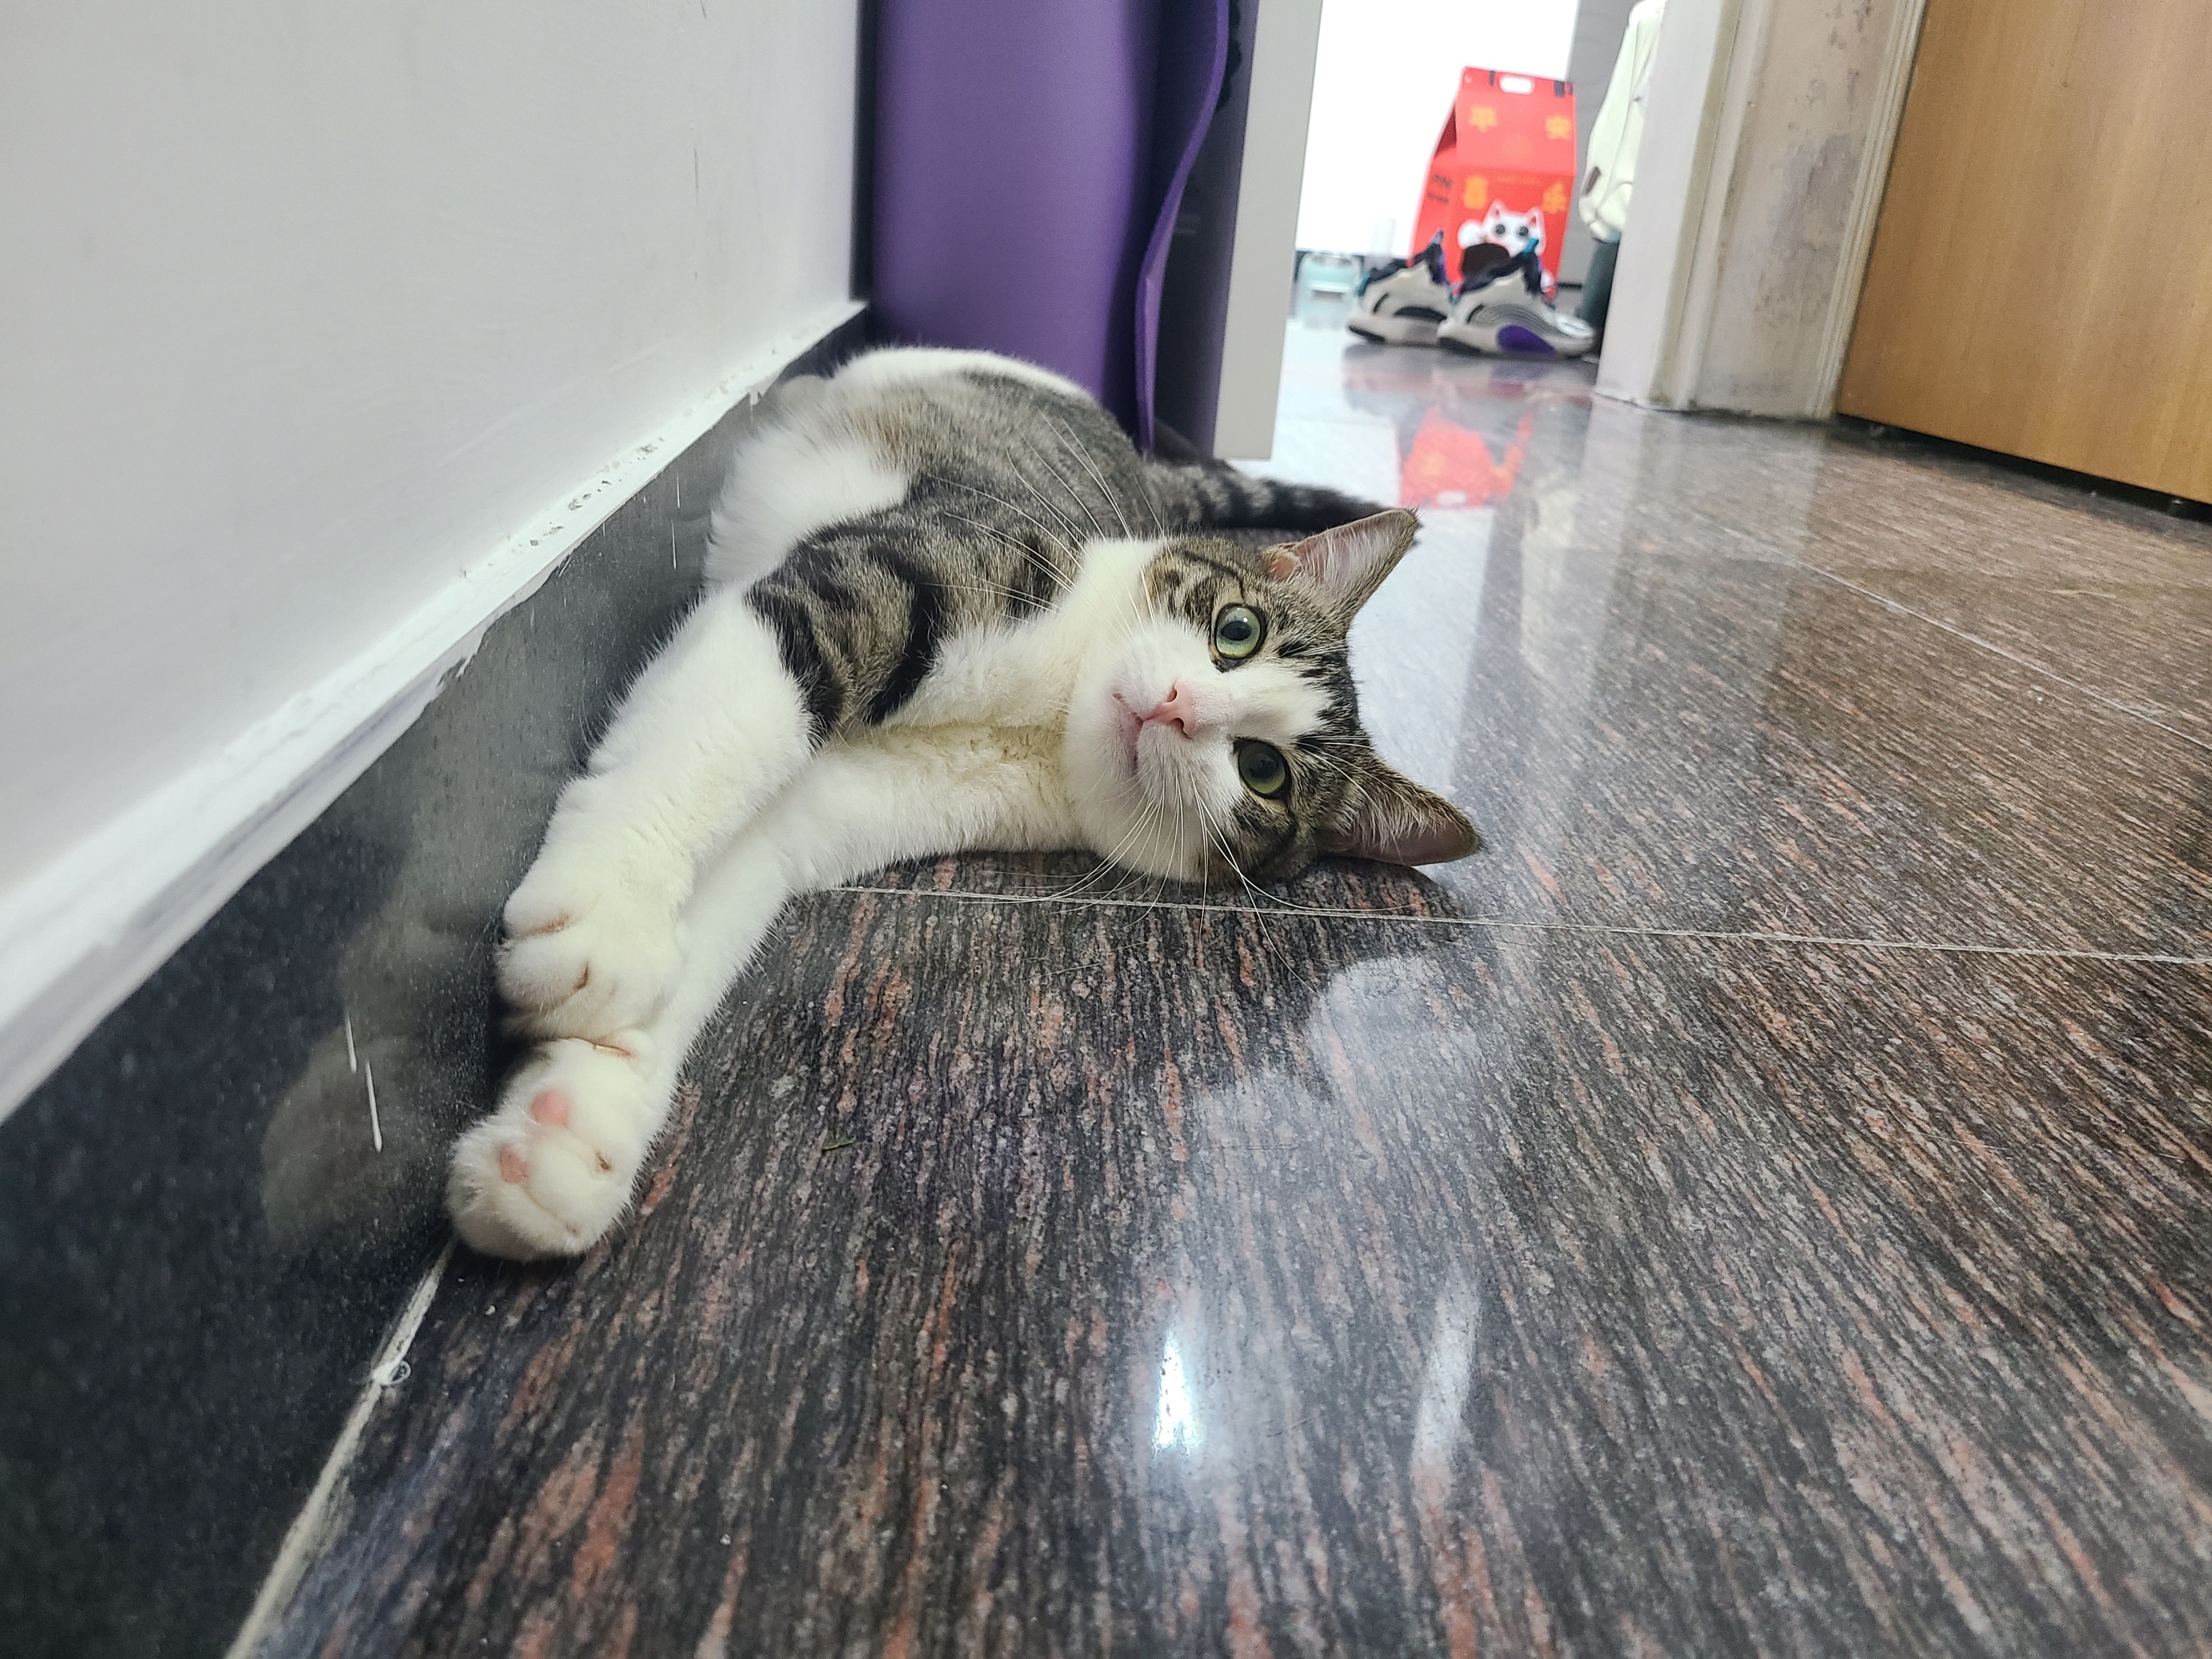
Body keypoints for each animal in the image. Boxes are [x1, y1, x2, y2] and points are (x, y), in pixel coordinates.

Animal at [446, 347, 1479, 1260]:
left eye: (1264, 772)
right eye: (1236, 631)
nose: (1178, 707)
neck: (1048, 723)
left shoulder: (834, 807)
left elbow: (736, 882)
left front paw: (566, 1129)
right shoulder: (886, 584)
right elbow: (724, 728)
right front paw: (608, 918)